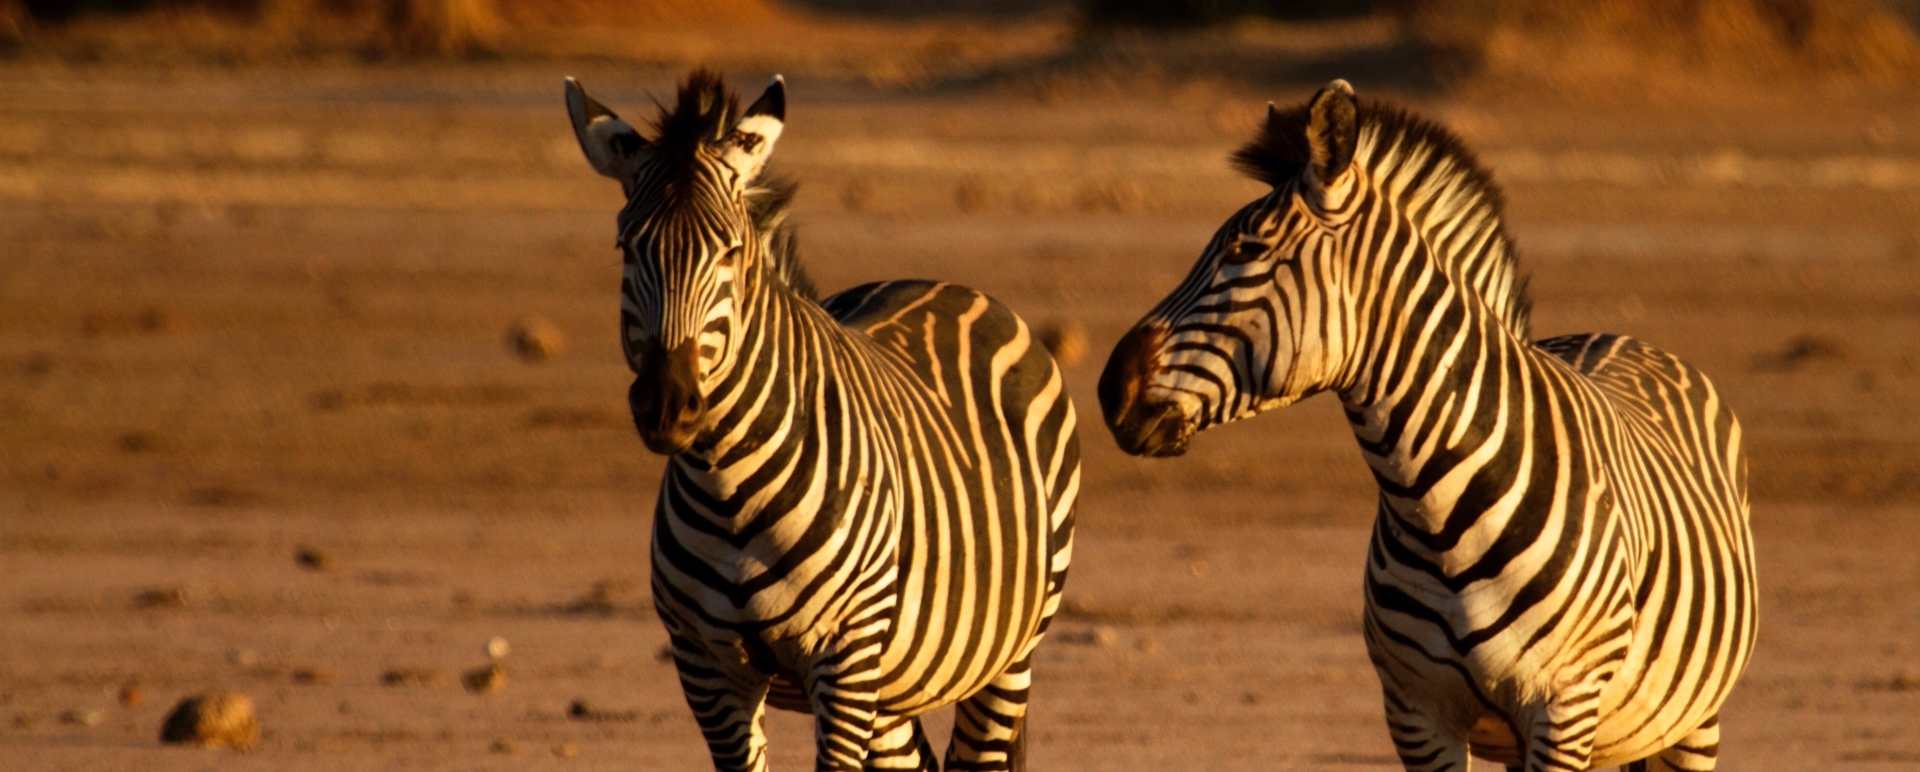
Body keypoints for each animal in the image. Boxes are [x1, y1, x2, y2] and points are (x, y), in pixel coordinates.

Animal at [564, 71, 1080, 771]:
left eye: (730, 252)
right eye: (627, 246)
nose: (668, 405)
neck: (728, 490)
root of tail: (941, 283)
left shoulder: (843, 654)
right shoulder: (706, 666)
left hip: (1009, 650)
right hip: (893, 686)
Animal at [1097, 80, 1757, 771]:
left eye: (1244, 252)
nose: (1109, 390)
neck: (1436, 508)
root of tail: (1616, 335)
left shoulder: (1563, 707)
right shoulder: (1415, 711)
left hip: (1691, 721)